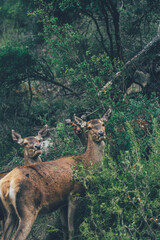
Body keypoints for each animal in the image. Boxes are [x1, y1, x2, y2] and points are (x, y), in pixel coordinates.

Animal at [0, 107, 111, 240]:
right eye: (88, 127)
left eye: (103, 124)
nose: (101, 133)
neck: (85, 162)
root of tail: (7, 182)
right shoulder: (74, 193)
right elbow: (71, 228)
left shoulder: (62, 202)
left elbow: (64, 227)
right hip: (27, 209)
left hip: (9, 214)